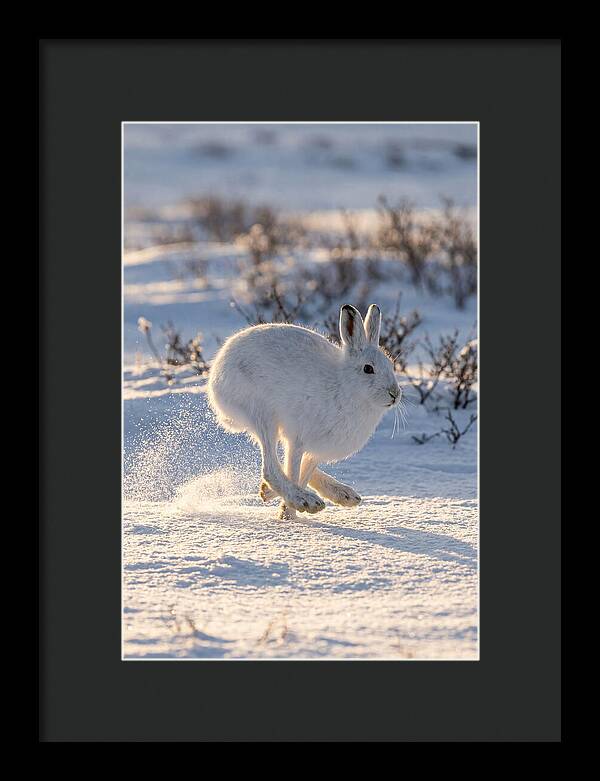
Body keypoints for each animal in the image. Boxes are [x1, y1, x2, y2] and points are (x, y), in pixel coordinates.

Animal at [207, 303, 401, 519]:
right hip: (262, 414)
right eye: (368, 369)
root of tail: (217, 372)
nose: (395, 393)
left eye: (391, 365)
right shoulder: (299, 439)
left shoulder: (316, 449)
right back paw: (305, 500)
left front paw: (284, 508)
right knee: (271, 468)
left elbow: (303, 472)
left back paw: (342, 495)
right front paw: (289, 514)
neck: (345, 386)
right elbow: (293, 471)